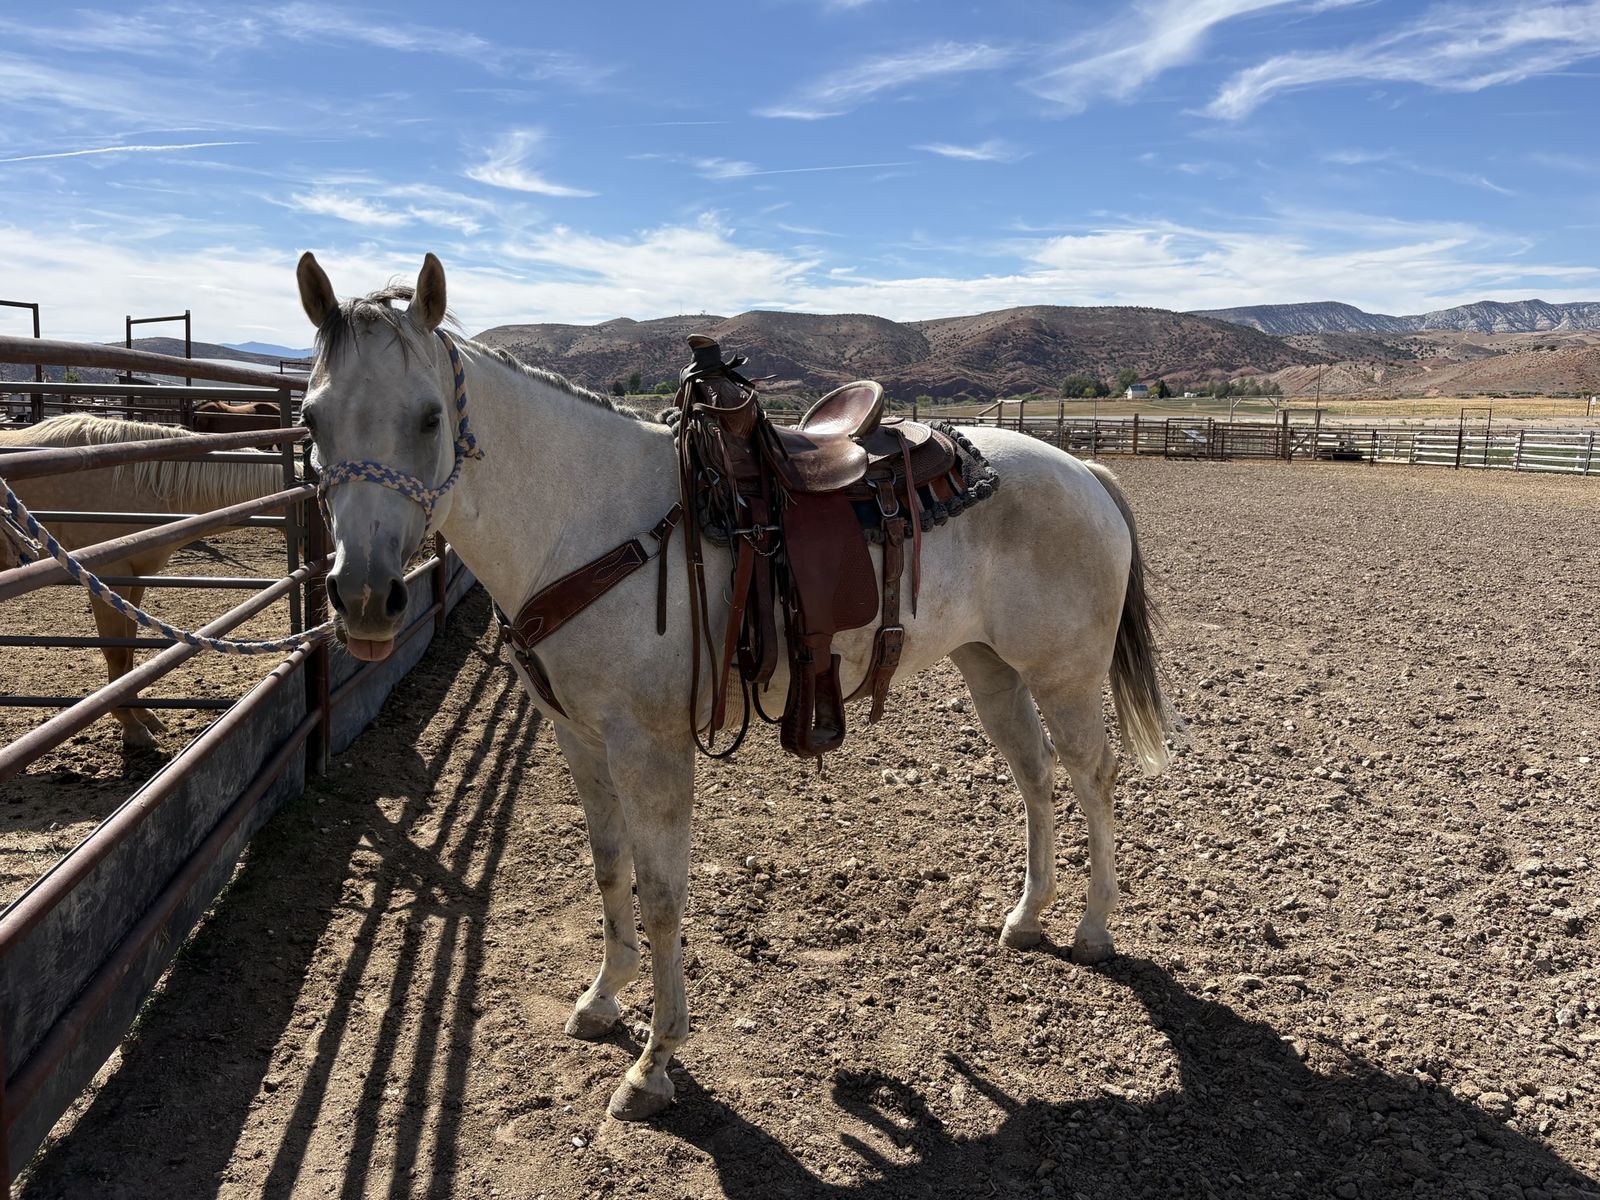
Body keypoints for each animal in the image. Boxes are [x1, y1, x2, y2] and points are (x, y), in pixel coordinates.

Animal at [0, 414, 284, 747]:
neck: (138, 480)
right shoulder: (109, 574)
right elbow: (116, 651)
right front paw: (132, 727)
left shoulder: (133, 579)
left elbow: (130, 649)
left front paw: (143, 715)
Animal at [293, 251, 1177, 1121]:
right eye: (309, 420)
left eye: (429, 417)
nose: (365, 599)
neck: (587, 522)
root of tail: (1083, 469)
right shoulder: (578, 736)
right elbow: (608, 868)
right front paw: (602, 1001)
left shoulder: (651, 749)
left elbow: (661, 895)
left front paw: (653, 1064)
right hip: (992, 669)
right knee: (1034, 776)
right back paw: (1027, 917)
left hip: (1066, 675)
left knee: (1093, 778)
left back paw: (1093, 927)